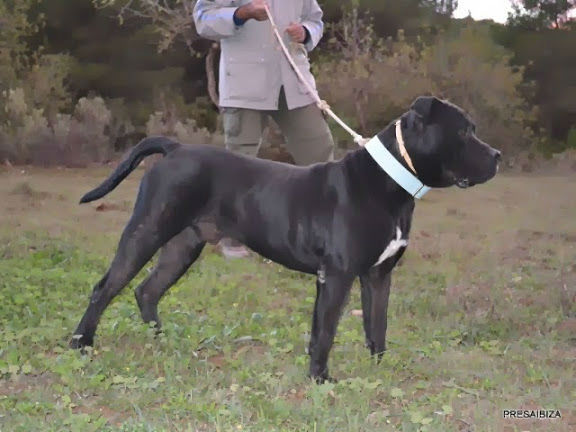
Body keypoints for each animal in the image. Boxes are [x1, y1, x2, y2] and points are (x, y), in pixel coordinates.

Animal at [70, 97, 500, 382]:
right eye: (465, 131)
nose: (496, 155)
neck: (391, 182)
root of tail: (175, 148)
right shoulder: (337, 275)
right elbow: (324, 332)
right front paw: (320, 380)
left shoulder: (379, 277)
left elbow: (377, 326)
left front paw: (380, 369)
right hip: (147, 231)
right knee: (105, 288)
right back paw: (81, 344)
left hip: (182, 247)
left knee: (147, 290)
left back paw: (161, 340)